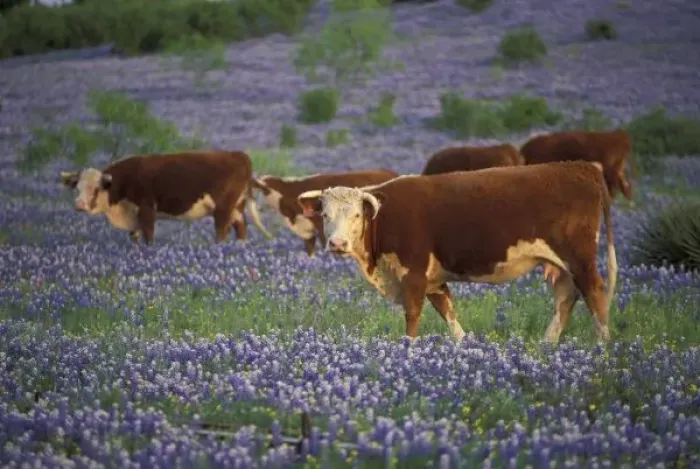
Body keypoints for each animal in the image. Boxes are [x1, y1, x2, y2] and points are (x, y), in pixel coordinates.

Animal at [59, 150, 272, 244]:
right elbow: (135, 238)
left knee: (222, 232)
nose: (80, 204)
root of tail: (240, 155)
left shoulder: (146, 210)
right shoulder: (133, 218)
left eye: (96, 188)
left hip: (223, 208)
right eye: (77, 187)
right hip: (237, 207)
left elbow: (149, 236)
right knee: (241, 228)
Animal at [297, 161, 617, 344]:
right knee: (566, 296)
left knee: (594, 292)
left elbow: (412, 319)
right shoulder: (434, 280)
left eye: (356, 215)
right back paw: (547, 345)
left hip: (580, 257)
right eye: (325, 214)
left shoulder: (413, 275)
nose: (337, 244)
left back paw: (603, 349)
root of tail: (583, 167)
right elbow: (449, 315)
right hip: (561, 263)